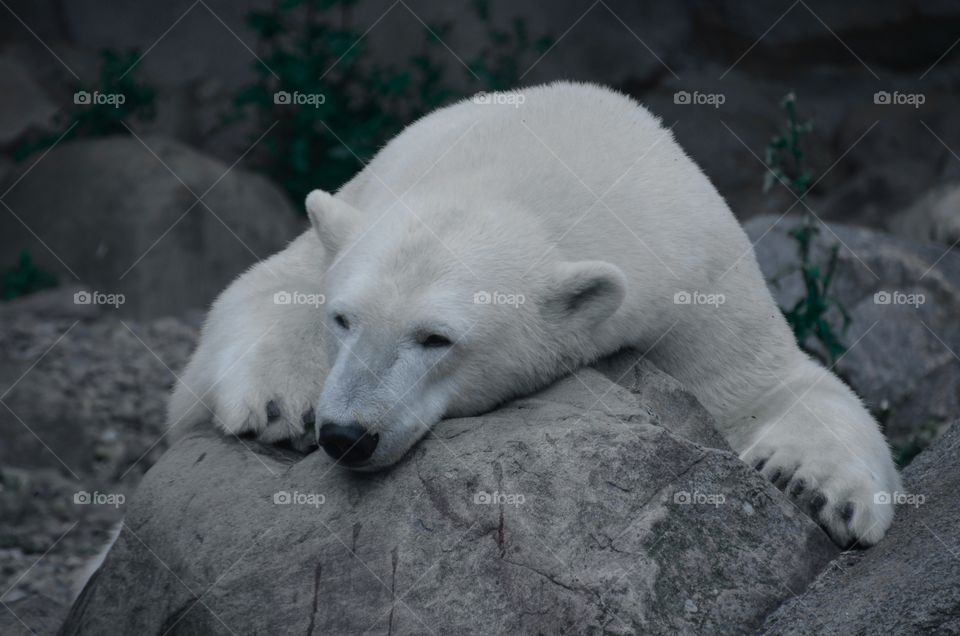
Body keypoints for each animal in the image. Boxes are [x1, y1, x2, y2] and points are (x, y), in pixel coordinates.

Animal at [168, 81, 901, 547]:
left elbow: (769, 383)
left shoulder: (694, 274)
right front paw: (276, 404)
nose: (347, 434)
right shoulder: (369, 195)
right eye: (342, 320)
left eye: (436, 339)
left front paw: (813, 488)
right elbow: (265, 286)